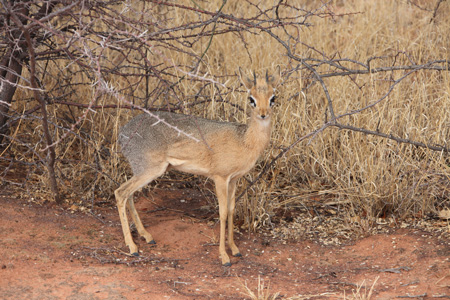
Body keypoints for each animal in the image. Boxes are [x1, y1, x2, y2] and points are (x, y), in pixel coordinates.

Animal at [114, 67, 280, 266]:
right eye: (251, 98)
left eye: (273, 97)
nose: (263, 113)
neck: (244, 140)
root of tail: (122, 132)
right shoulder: (220, 178)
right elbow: (222, 213)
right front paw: (224, 256)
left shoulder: (233, 180)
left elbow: (232, 210)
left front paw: (234, 249)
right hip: (150, 170)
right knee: (120, 193)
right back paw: (133, 248)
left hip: (142, 170)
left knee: (128, 194)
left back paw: (147, 236)